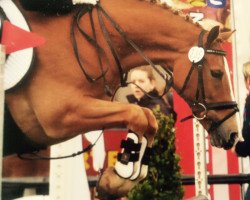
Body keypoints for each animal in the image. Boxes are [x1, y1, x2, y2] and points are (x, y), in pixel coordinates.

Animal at [5, 0, 238, 198]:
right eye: (216, 73)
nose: (234, 134)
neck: (92, 42)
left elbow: (147, 119)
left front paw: (121, 176)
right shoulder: (60, 116)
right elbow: (138, 115)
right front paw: (121, 175)